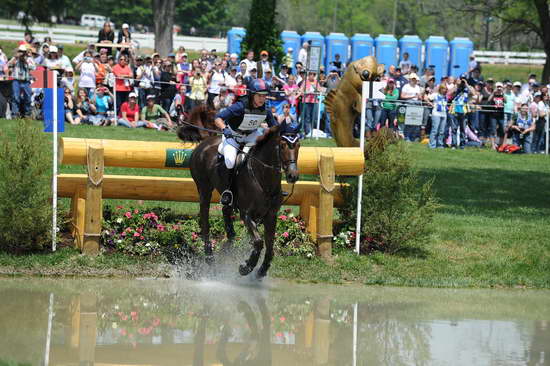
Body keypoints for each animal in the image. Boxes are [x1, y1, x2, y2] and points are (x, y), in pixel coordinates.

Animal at [190, 123, 302, 278]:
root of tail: (203, 144)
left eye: (298, 145)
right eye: (283, 145)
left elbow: (270, 245)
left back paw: (229, 243)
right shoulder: (246, 214)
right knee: (205, 217)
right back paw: (209, 256)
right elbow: (259, 241)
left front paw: (262, 269)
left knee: (226, 210)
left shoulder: (271, 215)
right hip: (204, 188)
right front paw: (247, 266)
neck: (263, 177)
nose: (293, 175)